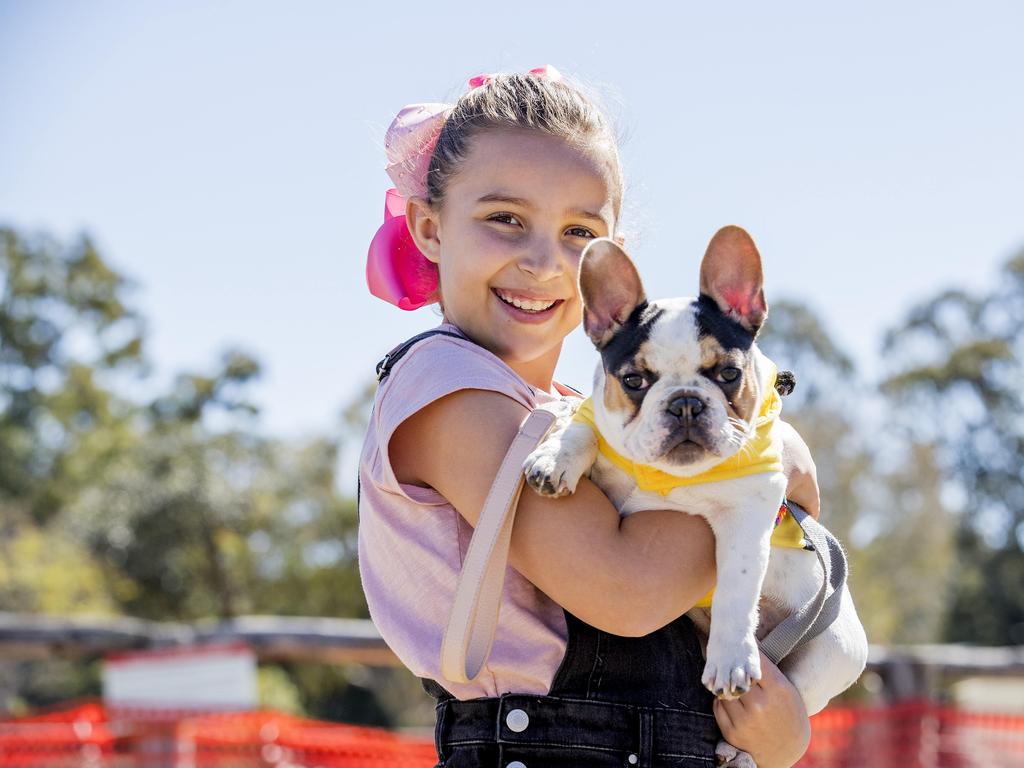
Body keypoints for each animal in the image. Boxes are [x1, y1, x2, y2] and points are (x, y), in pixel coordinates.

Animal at [524, 228, 868, 768]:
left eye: (727, 374)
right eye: (634, 381)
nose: (685, 402)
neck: (669, 476)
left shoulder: (749, 514)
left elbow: (735, 589)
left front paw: (730, 659)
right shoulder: (597, 422)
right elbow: (581, 427)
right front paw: (555, 455)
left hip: (831, 654)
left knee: (795, 697)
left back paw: (739, 747)